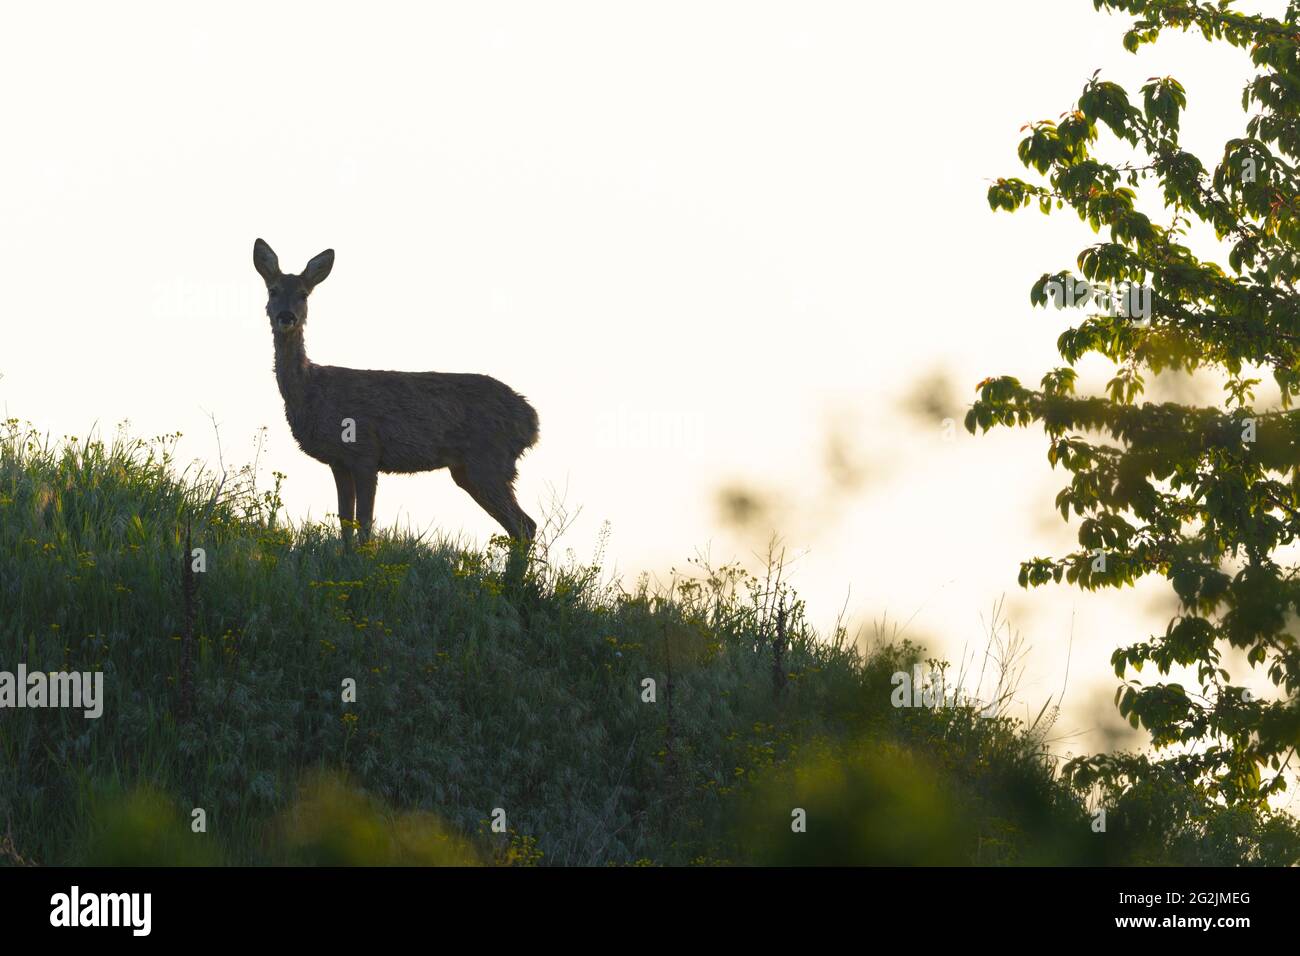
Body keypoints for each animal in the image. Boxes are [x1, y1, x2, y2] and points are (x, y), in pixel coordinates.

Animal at [253, 239, 538, 548]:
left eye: (304, 294)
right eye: (273, 290)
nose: (286, 317)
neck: (312, 390)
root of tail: (531, 421)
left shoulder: (365, 451)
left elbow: (365, 523)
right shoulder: (338, 461)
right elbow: (345, 522)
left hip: (488, 460)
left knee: (525, 525)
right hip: (469, 468)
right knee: (520, 526)